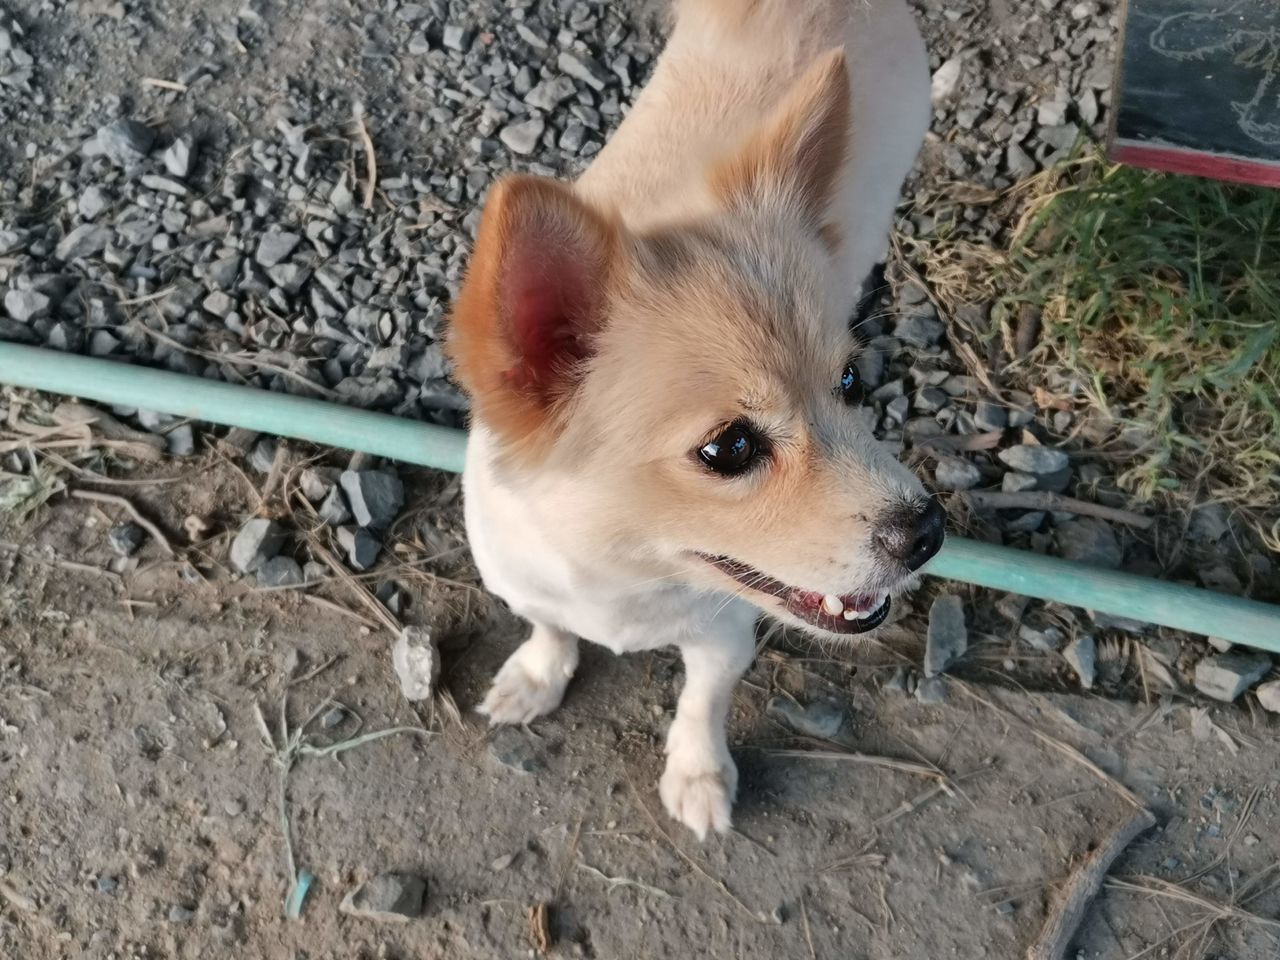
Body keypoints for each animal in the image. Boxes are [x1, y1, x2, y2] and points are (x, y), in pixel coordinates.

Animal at [448, 0, 942, 839]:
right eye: (730, 447)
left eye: (849, 382)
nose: (929, 530)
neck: (626, 572)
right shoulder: (527, 586)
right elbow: (550, 629)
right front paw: (538, 676)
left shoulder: (723, 637)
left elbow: (700, 703)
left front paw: (699, 776)